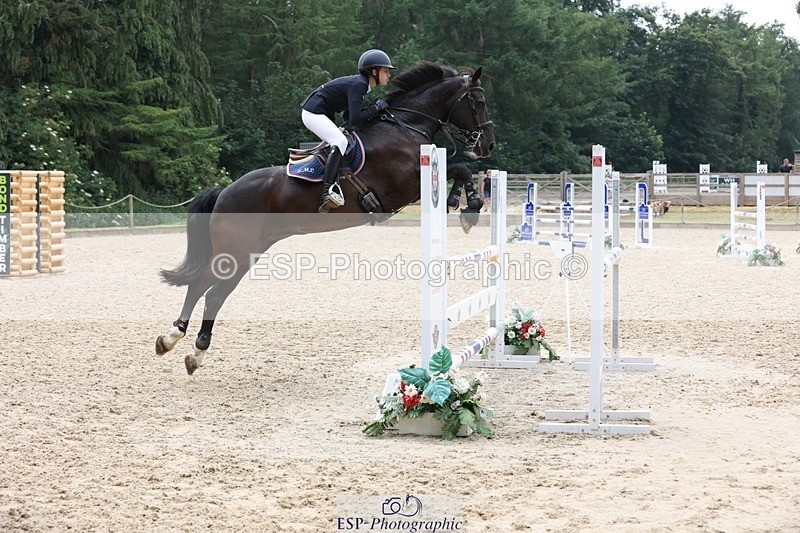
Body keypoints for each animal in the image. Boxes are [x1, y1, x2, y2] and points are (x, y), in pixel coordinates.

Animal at [155, 61, 496, 374]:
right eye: (479, 103)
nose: (488, 144)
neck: (405, 125)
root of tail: (224, 192)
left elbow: (459, 172)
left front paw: (460, 203)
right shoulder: (406, 184)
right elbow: (460, 168)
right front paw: (470, 207)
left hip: (247, 254)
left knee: (210, 291)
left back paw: (186, 346)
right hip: (234, 251)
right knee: (205, 288)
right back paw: (180, 342)